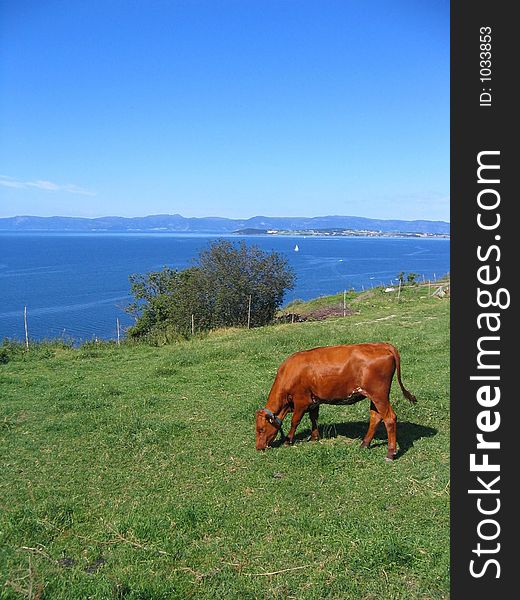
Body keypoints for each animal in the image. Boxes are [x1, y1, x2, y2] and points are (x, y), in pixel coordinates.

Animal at [254, 342, 416, 460]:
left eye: (260, 429)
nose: (258, 448)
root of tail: (382, 344)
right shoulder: (314, 401)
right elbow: (314, 418)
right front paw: (314, 437)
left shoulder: (301, 401)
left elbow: (295, 421)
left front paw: (288, 440)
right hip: (375, 397)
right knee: (375, 417)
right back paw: (364, 444)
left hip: (379, 395)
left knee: (389, 418)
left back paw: (390, 453)